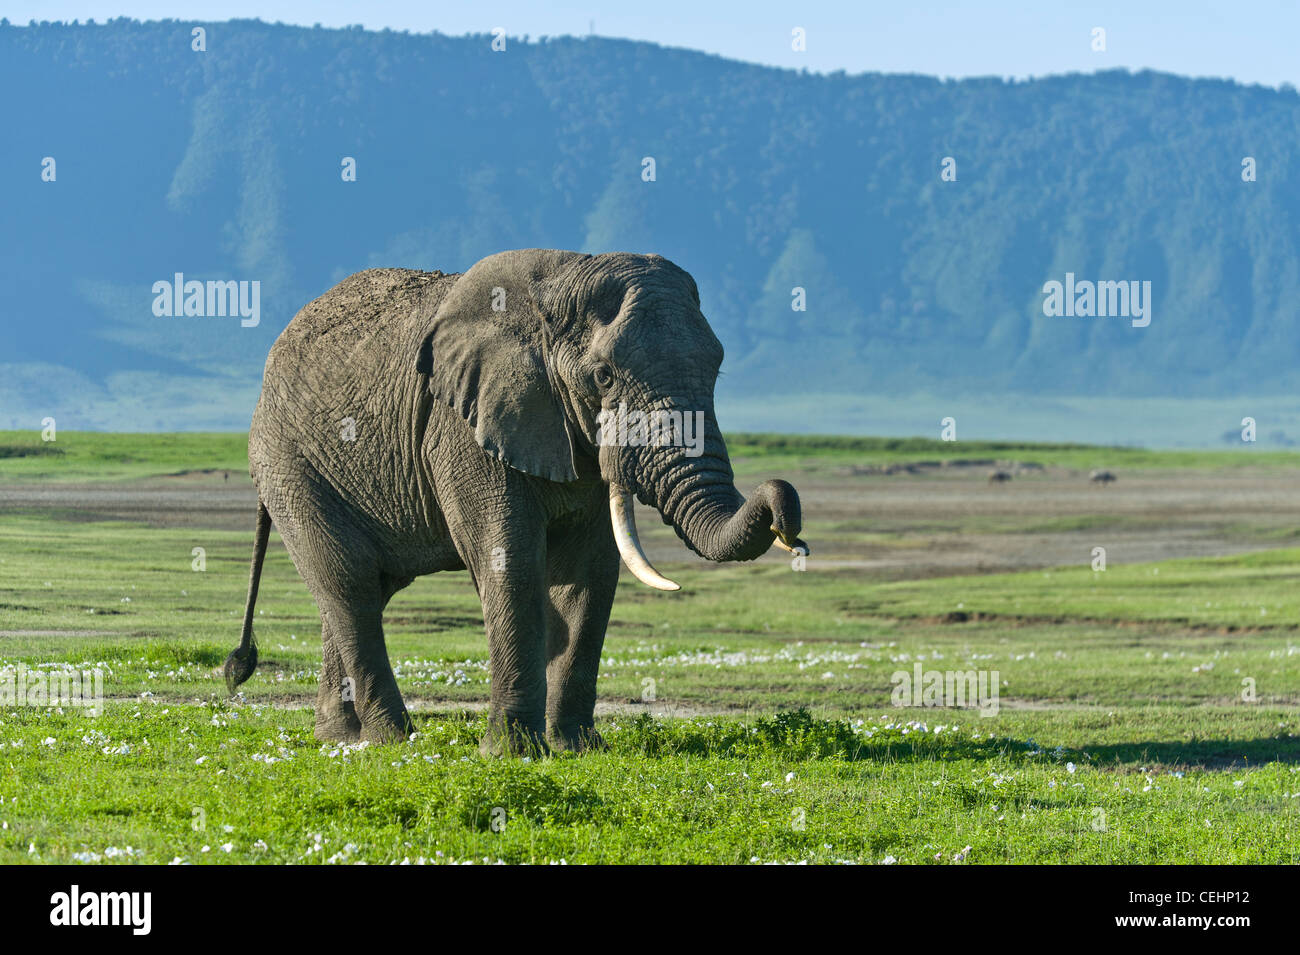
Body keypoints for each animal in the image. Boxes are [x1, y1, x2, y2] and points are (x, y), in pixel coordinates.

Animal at [228, 250, 806, 758]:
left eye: (717, 370)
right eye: (603, 376)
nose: (787, 520)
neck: (560, 282)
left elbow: (589, 577)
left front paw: (577, 749)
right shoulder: (463, 426)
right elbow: (512, 564)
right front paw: (512, 755)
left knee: (360, 587)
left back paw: (343, 739)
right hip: (289, 463)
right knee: (350, 586)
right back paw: (395, 741)